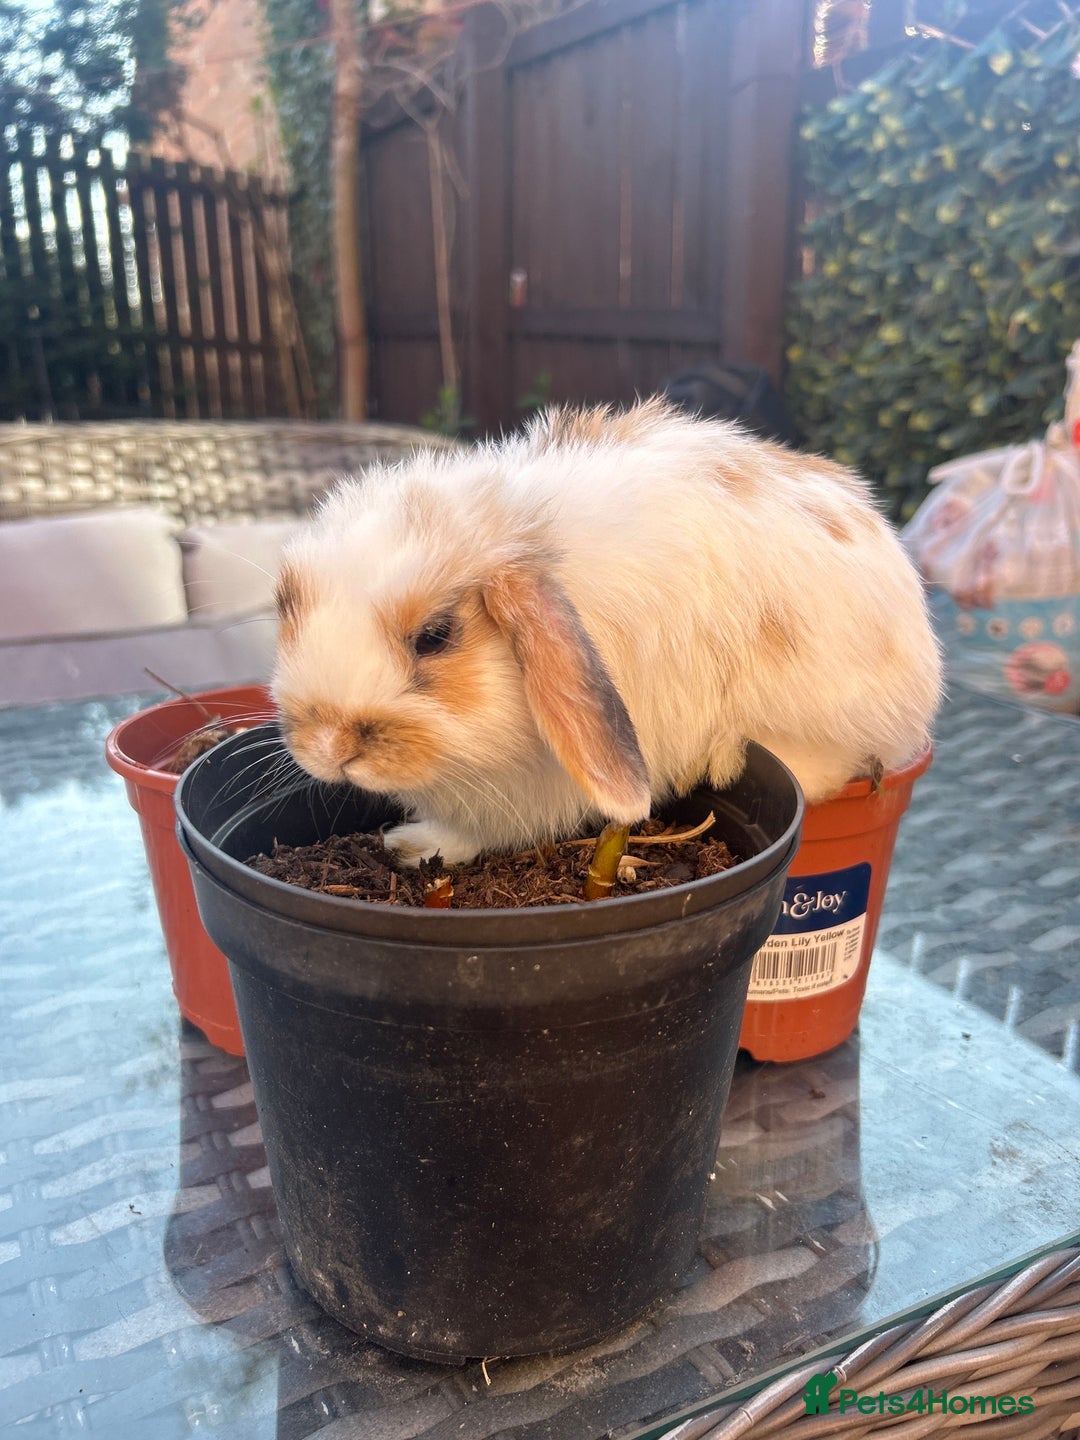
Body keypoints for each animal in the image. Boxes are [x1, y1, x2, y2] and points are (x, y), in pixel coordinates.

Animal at [271, 397, 942, 867]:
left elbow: (486, 830)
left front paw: (414, 846)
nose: (330, 748)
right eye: (285, 607)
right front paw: (410, 846)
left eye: (435, 636)